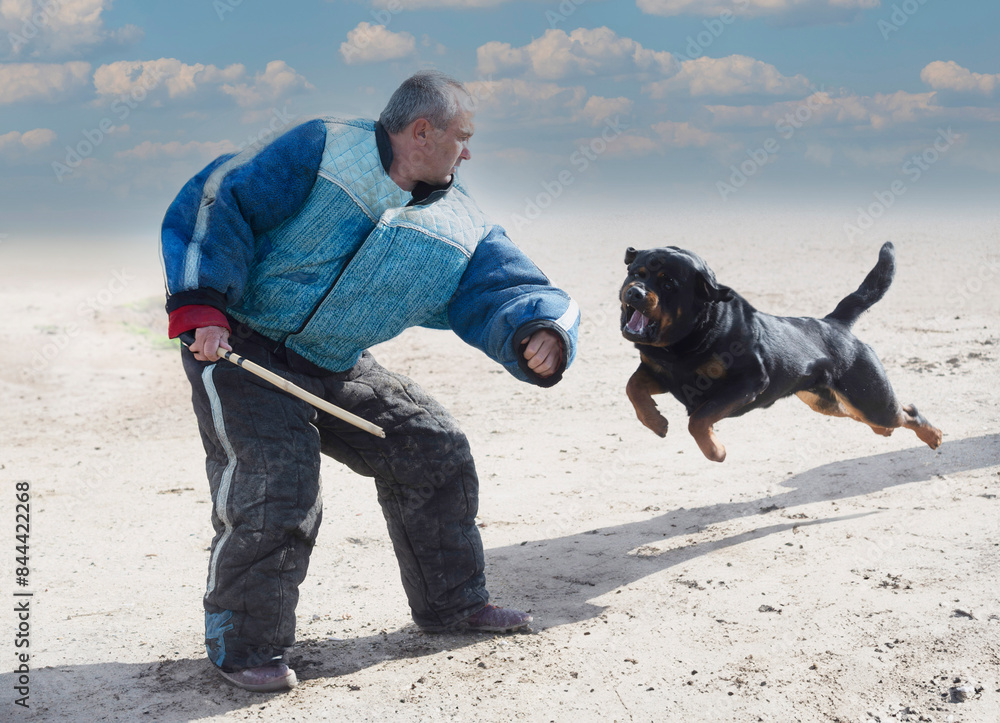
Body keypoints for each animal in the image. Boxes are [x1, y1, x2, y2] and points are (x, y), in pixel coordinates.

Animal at [620, 240, 940, 460]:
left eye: (668, 283)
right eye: (636, 273)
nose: (634, 292)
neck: (684, 341)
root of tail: (835, 323)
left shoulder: (748, 381)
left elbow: (698, 419)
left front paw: (715, 451)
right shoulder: (659, 372)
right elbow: (632, 387)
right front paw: (656, 422)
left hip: (869, 396)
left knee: (904, 413)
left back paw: (933, 435)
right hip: (825, 402)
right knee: (877, 417)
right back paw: (894, 432)